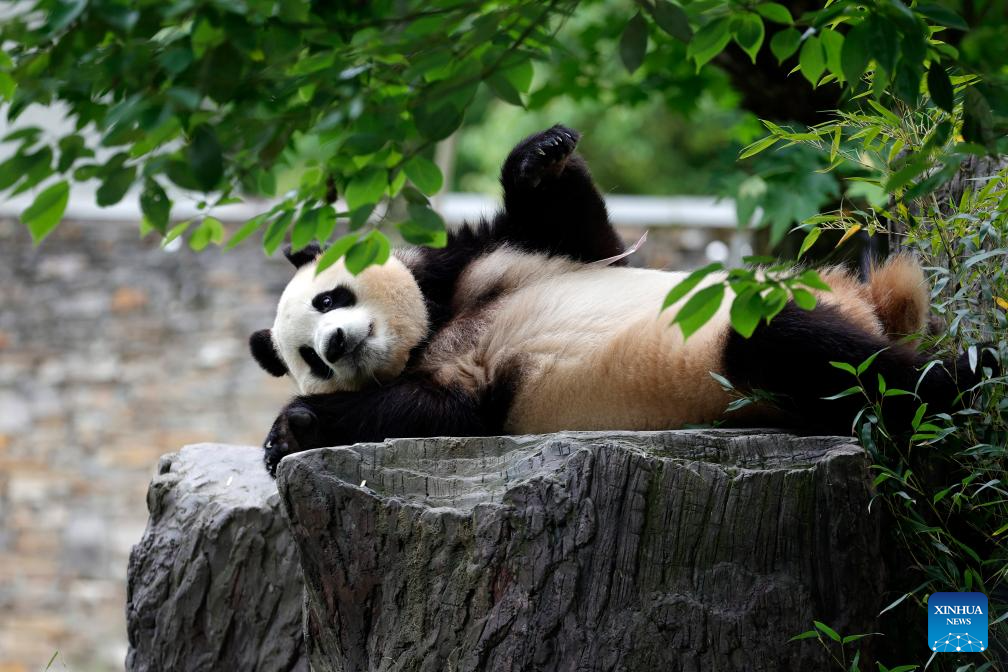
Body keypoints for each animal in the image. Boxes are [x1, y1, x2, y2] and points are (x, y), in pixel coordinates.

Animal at [249, 123, 991, 475]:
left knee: (817, 348)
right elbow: (433, 413)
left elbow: (582, 232)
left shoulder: (490, 258)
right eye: (309, 360)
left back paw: (967, 372)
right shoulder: (466, 386)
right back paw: (961, 377)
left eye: (328, 300)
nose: (336, 344)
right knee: (806, 355)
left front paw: (541, 153)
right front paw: (291, 431)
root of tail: (870, 306)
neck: (433, 329)